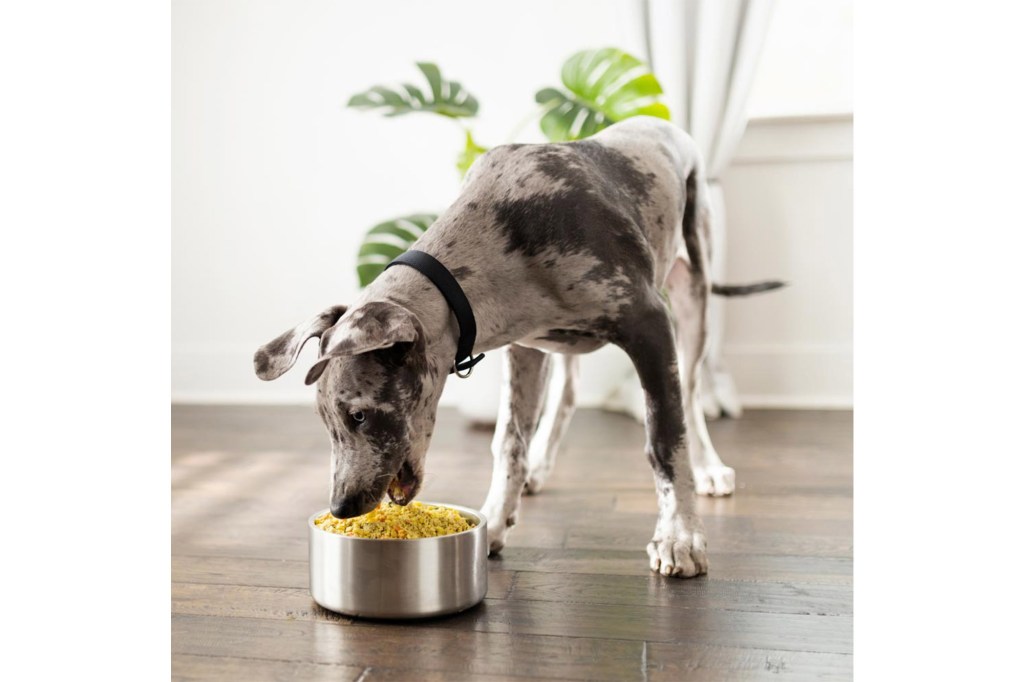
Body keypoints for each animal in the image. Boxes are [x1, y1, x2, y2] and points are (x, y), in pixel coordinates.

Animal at [253, 115, 774, 573]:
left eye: (359, 415)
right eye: (327, 422)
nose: (341, 508)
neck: (505, 233)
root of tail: (661, 123)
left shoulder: (650, 327)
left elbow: (665, 438)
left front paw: (679, 536)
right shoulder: (524, 347)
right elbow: (509, 441)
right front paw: (496, 521)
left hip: (693, 295)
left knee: (691, 391)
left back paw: (708, 469)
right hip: (560, 348)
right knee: (568, 394)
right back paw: (541, 466)